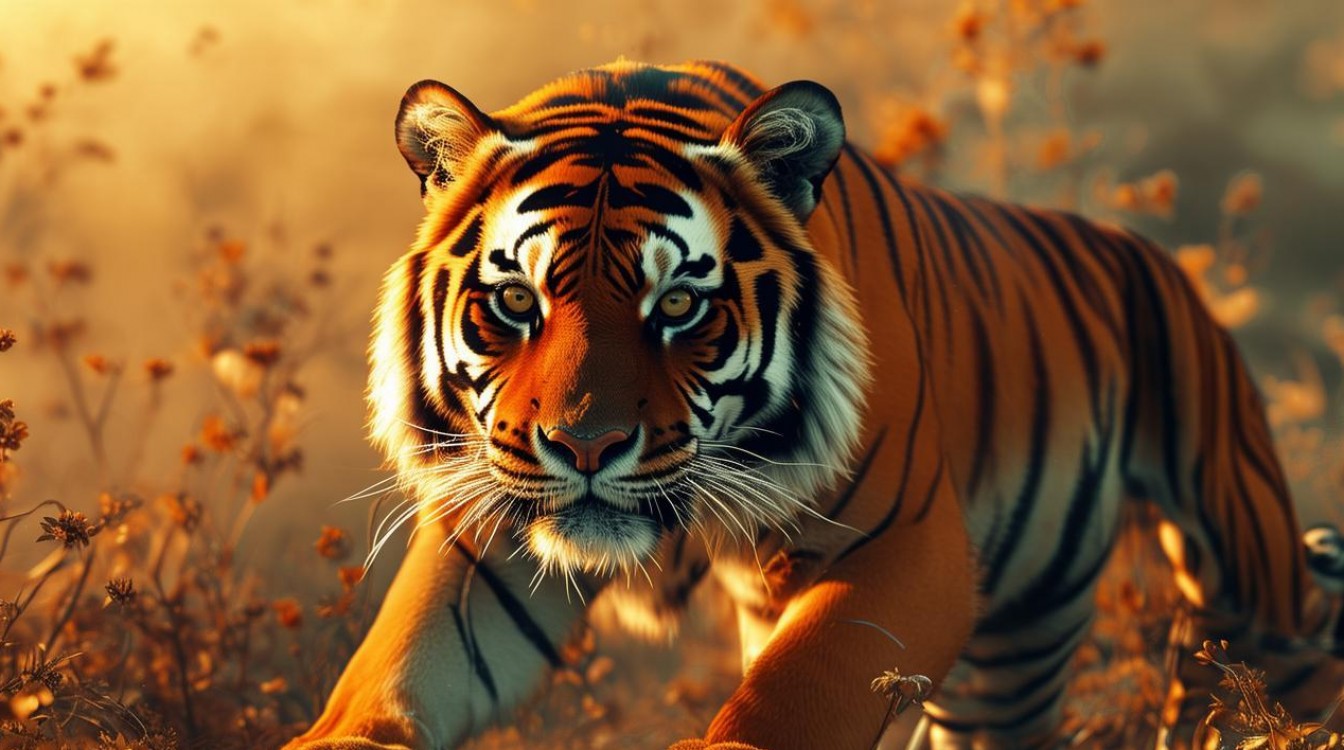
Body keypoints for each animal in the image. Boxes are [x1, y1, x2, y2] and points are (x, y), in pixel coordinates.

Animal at [286, 60, 1344, 750]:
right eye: (516, 301)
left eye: (678, 306)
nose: (584, 447)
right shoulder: (490, 537)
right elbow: (388, 681)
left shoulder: (903, 547)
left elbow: (792, 699)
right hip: (1007, 668)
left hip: (1246, 582)